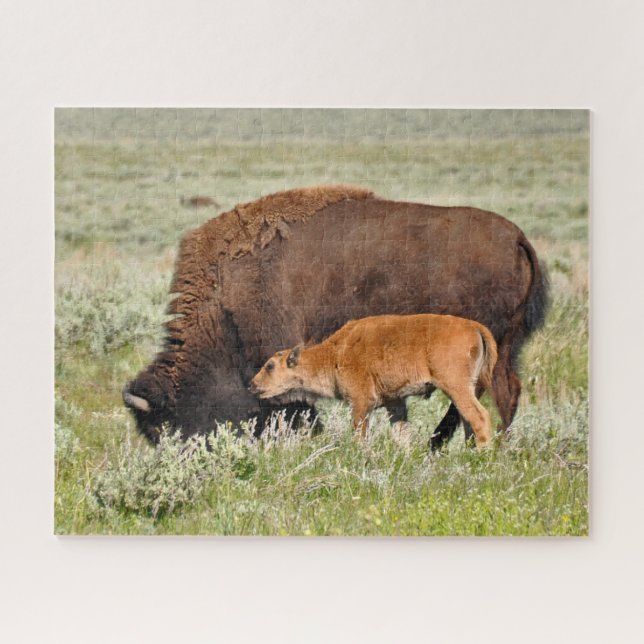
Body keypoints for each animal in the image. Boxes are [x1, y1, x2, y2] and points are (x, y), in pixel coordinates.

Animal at [123, 184, 548, 448]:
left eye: (168, 427)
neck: (226, 299)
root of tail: (517, 239)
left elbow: (296, 410)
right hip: (502, 349)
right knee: (497, 394)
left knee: (485, 398)